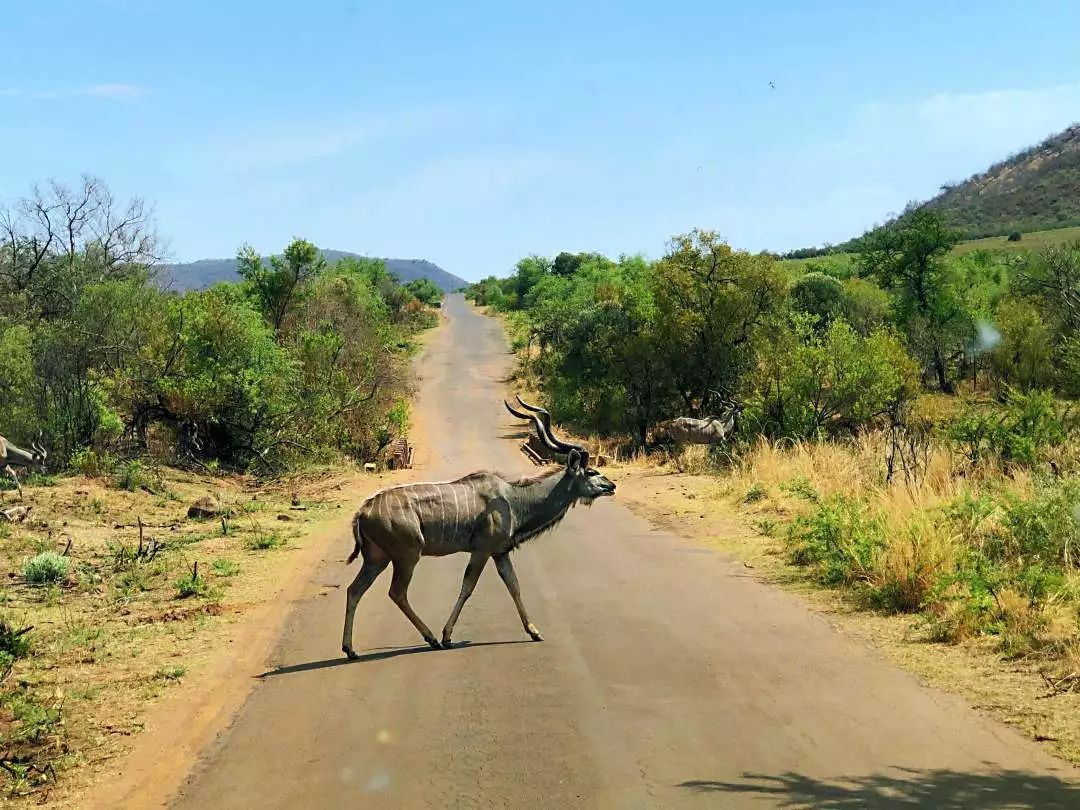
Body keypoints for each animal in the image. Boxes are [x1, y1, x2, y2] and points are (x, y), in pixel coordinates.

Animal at [345, 399, 617, 660]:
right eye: (591, 471)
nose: (612, 486)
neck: (514, 500)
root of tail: (362, 511)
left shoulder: (500, 553)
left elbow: (514, 585)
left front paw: (534, 631)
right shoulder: (482, 551)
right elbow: (468, 587)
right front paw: (447, 636)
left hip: (377, 559)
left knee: (354, 590)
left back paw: (350, 649)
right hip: (407, 556)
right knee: (397, 592)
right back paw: (431, 639)